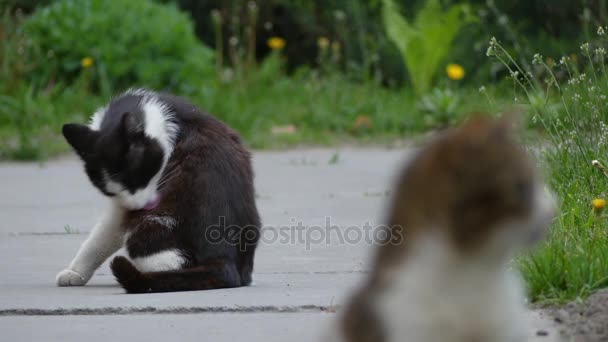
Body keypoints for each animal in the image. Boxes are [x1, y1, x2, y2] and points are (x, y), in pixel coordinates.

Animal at [54, 89, 258, 292]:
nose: (138, 208)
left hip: (150, 226)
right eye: (110, 191)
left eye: (137, 179)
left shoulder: (124, 211)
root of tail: (224, 259)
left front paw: (76, 272)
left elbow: (99, 238)